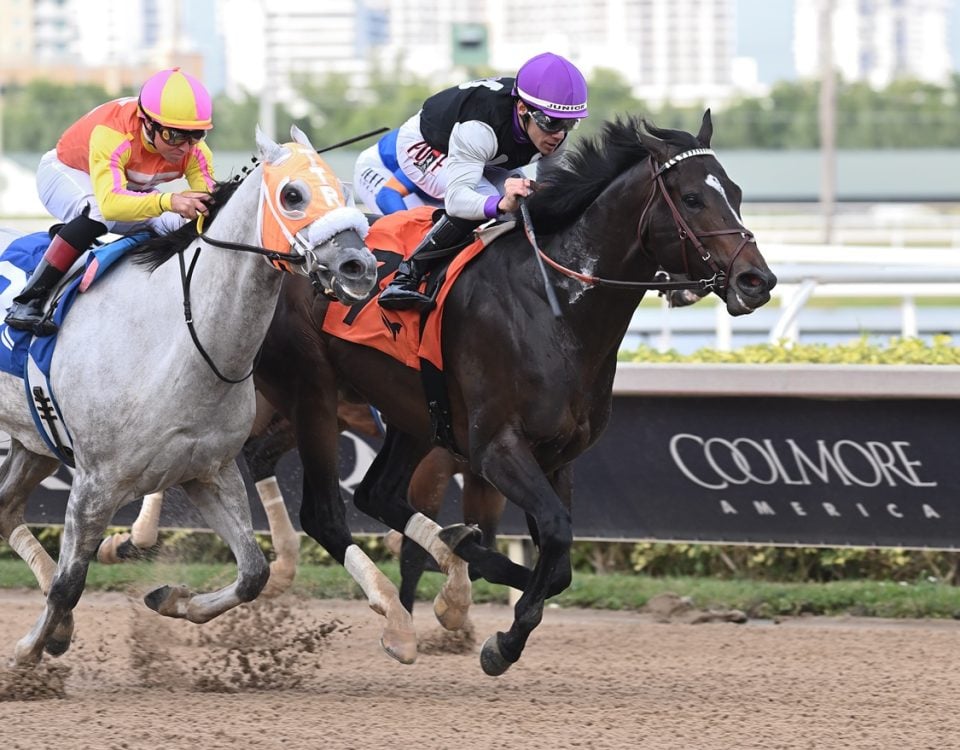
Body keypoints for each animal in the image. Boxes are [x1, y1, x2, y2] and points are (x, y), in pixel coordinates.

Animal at [256, 111, 780, 676]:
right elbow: (554, 533)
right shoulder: (496, 448)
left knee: (376, 493)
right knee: (318, 508)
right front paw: (500, 643)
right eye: (692, 198)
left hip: (410, 415)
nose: (757, 280)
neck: (557, 306)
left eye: (735, 191)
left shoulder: (555, 455)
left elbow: (558, 563)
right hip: (313, 394)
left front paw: (478, 603)